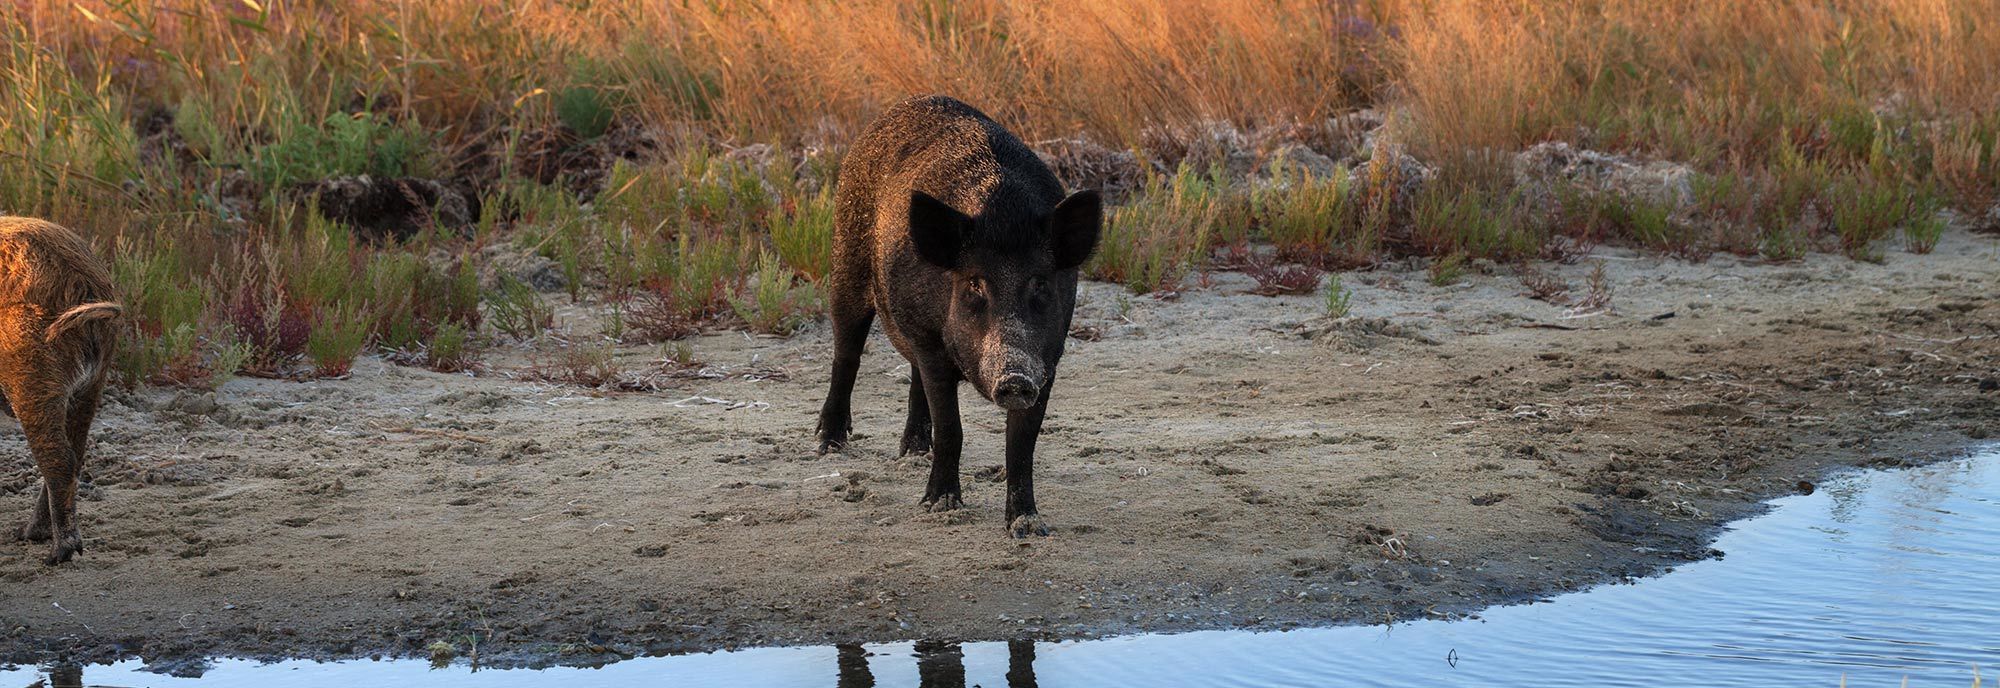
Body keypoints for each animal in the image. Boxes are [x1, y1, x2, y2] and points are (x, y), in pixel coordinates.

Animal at [0, 216, 122, 565]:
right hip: (92, 382)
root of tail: (85, 281)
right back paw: (30, 535)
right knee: (76, 452)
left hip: (29, 366)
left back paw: (58, 553)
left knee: (59, 457)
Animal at [815, 95, 1101, 537]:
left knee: (913, 376)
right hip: (845, 261)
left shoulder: (1048, 360)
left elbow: (1022, 444)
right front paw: (940, 506)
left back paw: (913, 451)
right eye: (974, 284)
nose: (1014, 377)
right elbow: (952, 426)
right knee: (846, 354)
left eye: (1040, 283)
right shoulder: (932, 341)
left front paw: (1028, 526)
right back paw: (828, 445)